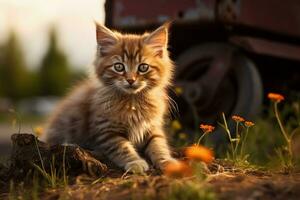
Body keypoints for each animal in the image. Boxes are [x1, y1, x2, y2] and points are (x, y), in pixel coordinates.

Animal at [43, 21, 177, 172]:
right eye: (119, 67)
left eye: (143, 67)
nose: (130, 80)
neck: (133, 102)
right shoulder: (107, 132)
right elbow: (123, 148)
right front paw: (135, 162)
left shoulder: (152, 128)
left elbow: (159, 145)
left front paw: (167, 161)